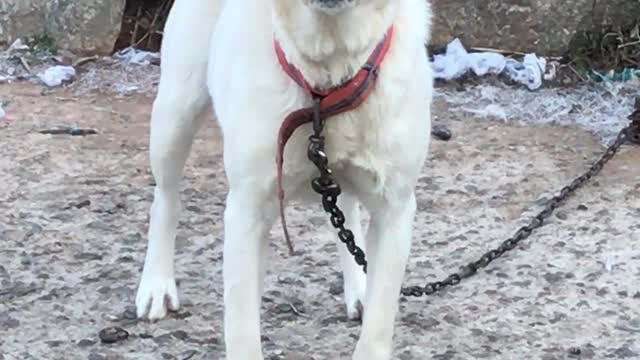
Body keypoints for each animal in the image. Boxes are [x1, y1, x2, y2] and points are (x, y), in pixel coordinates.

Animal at [137, 0, 432, 358]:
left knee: (345, 211)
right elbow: (242, 326)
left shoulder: (395, 210)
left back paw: (359, 287)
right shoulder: (246, 211)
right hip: (175, 114)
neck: (328, 74)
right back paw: (156, 286)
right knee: (166, 200)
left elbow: (378, 324)